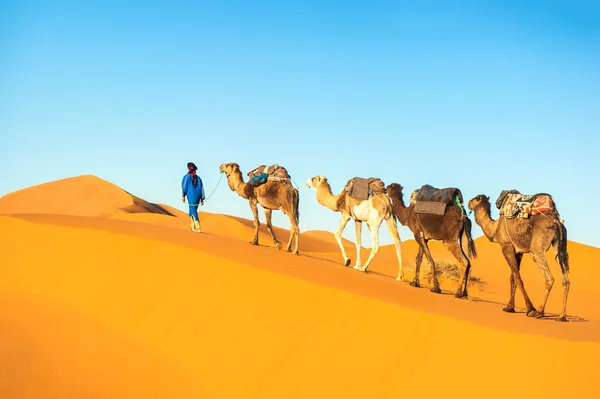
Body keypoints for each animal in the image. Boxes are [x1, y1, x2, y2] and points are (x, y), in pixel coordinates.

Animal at [466, 194, 568, 322]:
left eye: (475, 199)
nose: (468, 203)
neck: (495, 228)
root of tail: (556, 221)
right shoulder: (518, 251)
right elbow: (513, 277)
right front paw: (509, 307)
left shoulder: (506, 246)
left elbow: (518, 278)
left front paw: (530, 309)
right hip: (560, 245)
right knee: (565, 279)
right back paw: (561, 316)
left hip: (537, 249)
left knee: (549, 278)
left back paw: (540, 311)